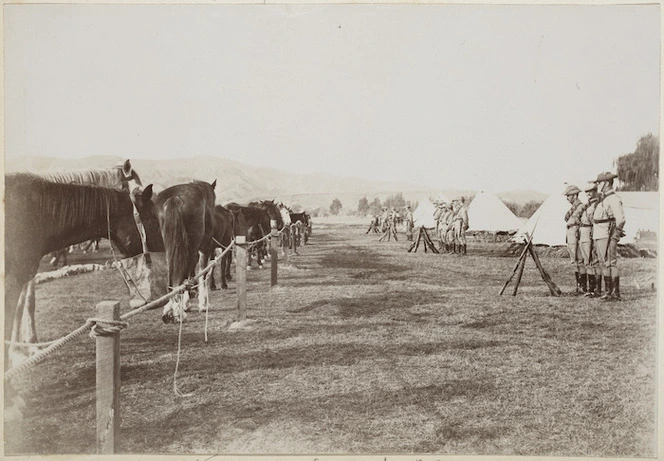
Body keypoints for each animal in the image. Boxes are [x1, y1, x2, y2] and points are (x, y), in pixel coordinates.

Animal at [154, 178, 217, 322]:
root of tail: (175, 198)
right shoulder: (204, 249)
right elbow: (201, 273)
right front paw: (202, 304)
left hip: (171, 248)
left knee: (172, 278)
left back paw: (170, 311)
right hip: (191, 248)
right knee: (185, 276)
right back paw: (178, 313)